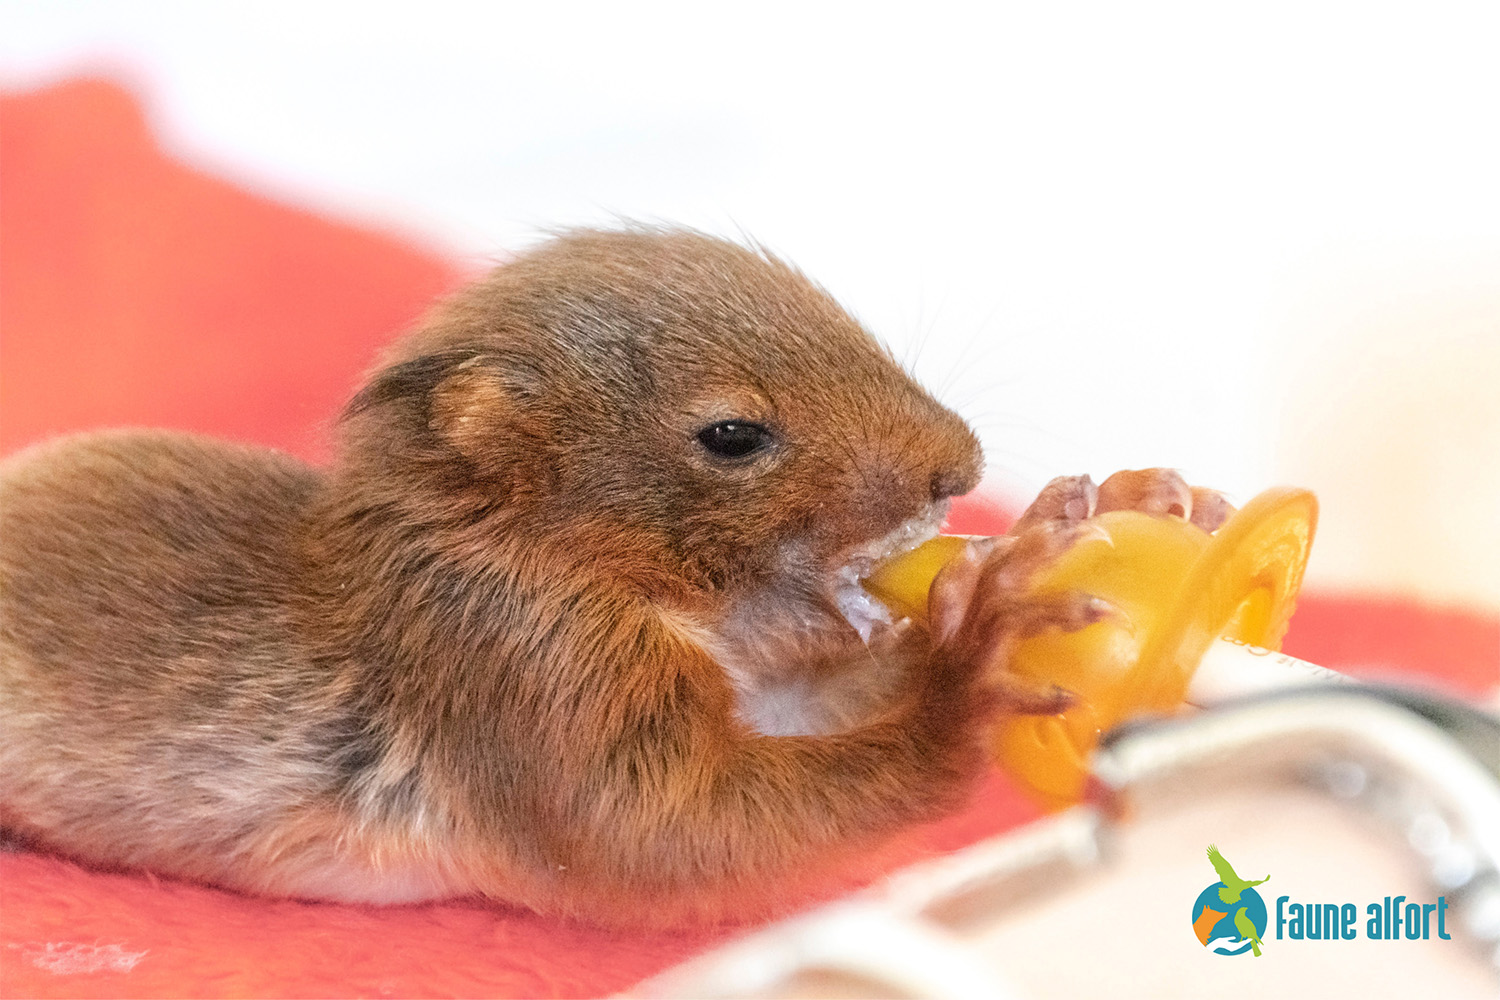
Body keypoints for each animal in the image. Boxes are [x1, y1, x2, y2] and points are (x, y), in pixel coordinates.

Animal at [0, 230, 1218, 929]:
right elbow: (663, 826)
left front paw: (1099, 510)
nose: (956, 470)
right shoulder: (521, 675)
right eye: (731, 437)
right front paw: (967, 684)